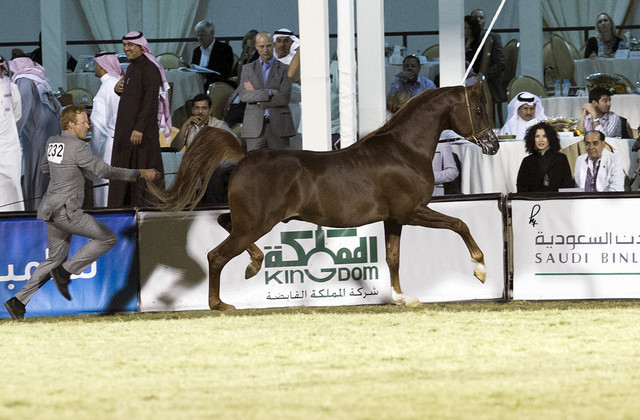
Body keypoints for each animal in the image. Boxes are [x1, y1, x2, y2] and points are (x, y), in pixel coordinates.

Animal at [149, 82, 499, 311]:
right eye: (479, 109)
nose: (493, 145)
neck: (403, 151)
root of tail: (245, 156)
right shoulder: (412, 211)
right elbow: (460, 224)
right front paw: (480, 269)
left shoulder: (394, 218)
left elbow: (393, 258)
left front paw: (402, 298)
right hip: (256, 223)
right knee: (216, 255)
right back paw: (220, 304)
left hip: (250, 222)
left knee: (224, 223)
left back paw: (253, 264)